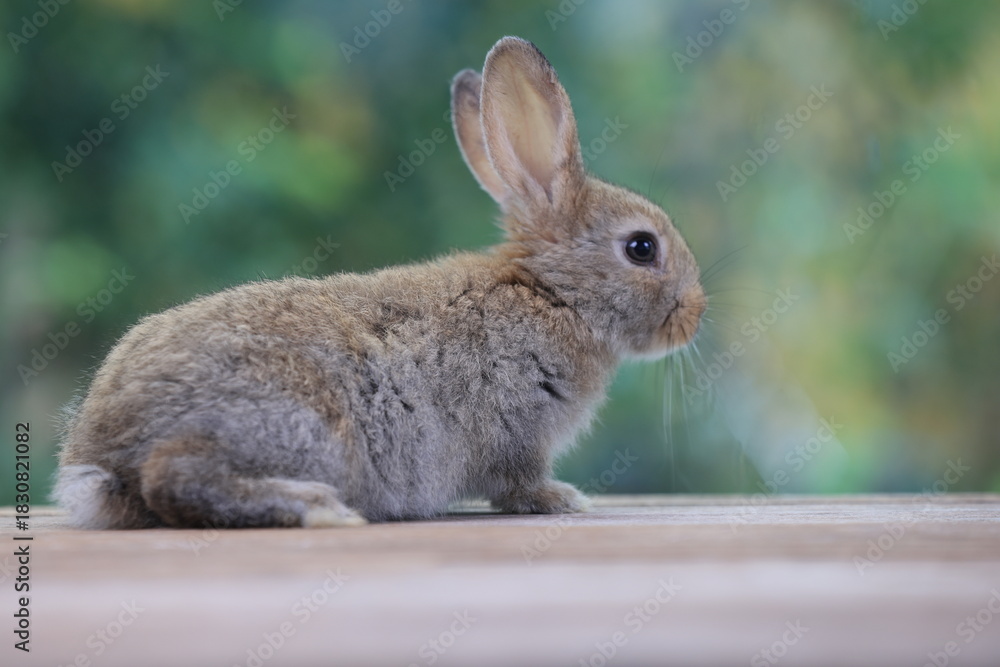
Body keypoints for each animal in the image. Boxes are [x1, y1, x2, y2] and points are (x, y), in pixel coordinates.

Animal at [54, 36, 706, 529]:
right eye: (642, 248)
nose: (695, 315)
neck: (553, 294)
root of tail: (102, 457)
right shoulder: (517, 432)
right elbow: (518, 484)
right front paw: (562, 499)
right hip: (303, 427)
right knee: (174, 479)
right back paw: (318, 509)